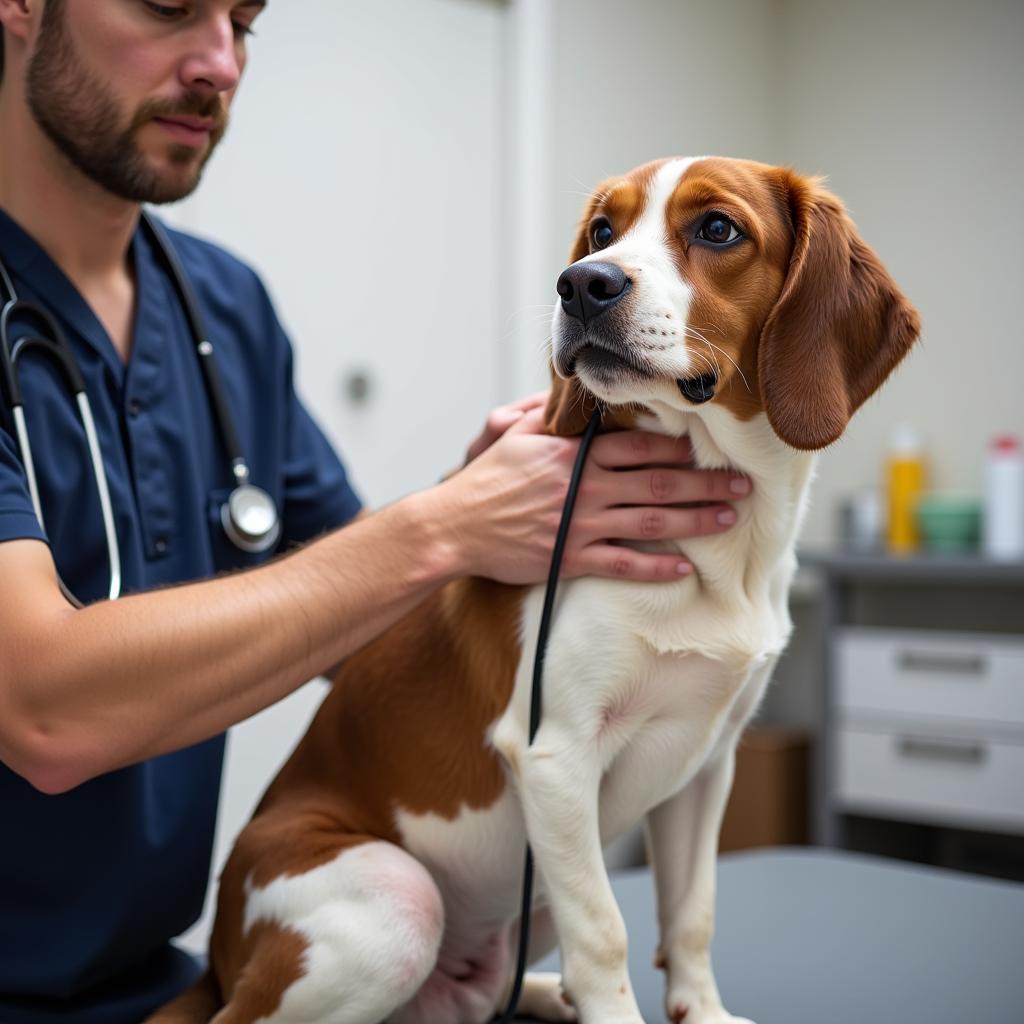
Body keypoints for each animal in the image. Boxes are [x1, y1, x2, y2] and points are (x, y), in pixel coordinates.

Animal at [149, 153, 921, 1024]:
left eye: (718, 228)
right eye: (603, 230)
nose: (583, 283)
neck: (722, 549)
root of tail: (221, 959)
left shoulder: (706, 766)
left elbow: (692, 915)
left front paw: (702, 1013)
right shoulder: (554, 754)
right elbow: (606, 930)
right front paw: (617, 1017)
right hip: (396, 900)